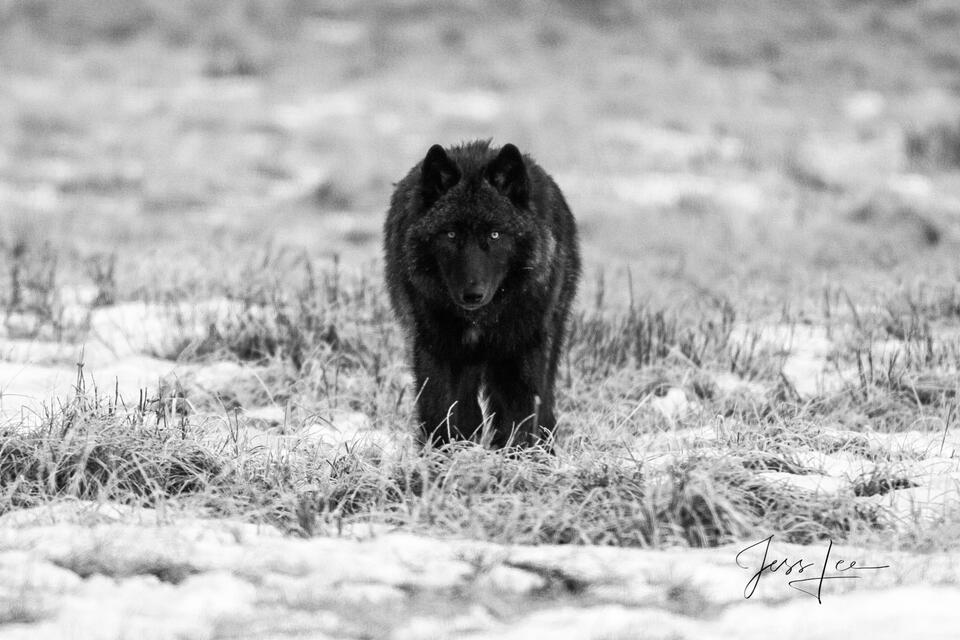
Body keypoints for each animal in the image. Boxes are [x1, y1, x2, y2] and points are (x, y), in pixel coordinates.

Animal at [384, 142, 580, 448]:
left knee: (544, 406)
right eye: (450, 234)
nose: (472, 294)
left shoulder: (521, 354)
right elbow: (441, 413)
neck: (481, 321)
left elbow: (522, 417)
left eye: (495, 234)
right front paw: (445, 458)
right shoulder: (437, 351)